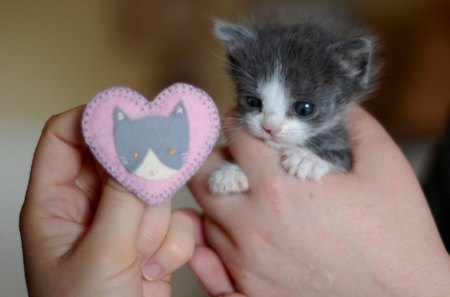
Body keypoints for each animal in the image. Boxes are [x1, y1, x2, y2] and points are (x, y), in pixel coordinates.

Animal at [209, 11, 378, 193]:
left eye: (304, 109)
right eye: (252, 101)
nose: (270, 128)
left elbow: (343, 159)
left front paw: (309, 159)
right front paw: (230, 172)